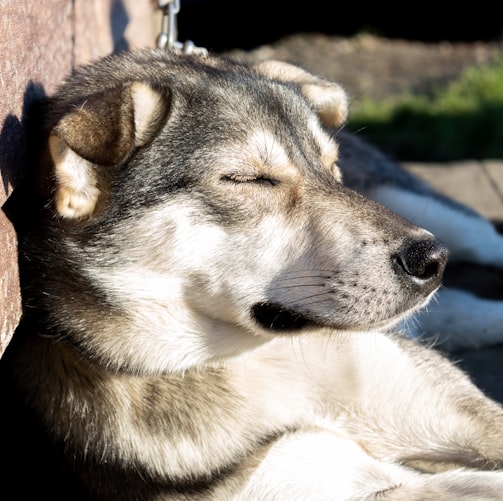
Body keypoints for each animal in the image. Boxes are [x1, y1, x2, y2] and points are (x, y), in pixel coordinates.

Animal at [2, 47, 503, 500]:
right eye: (249, 179)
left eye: (331, 169)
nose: (430, 261)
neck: (255, 360)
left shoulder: (462, 416)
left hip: (447, 221)